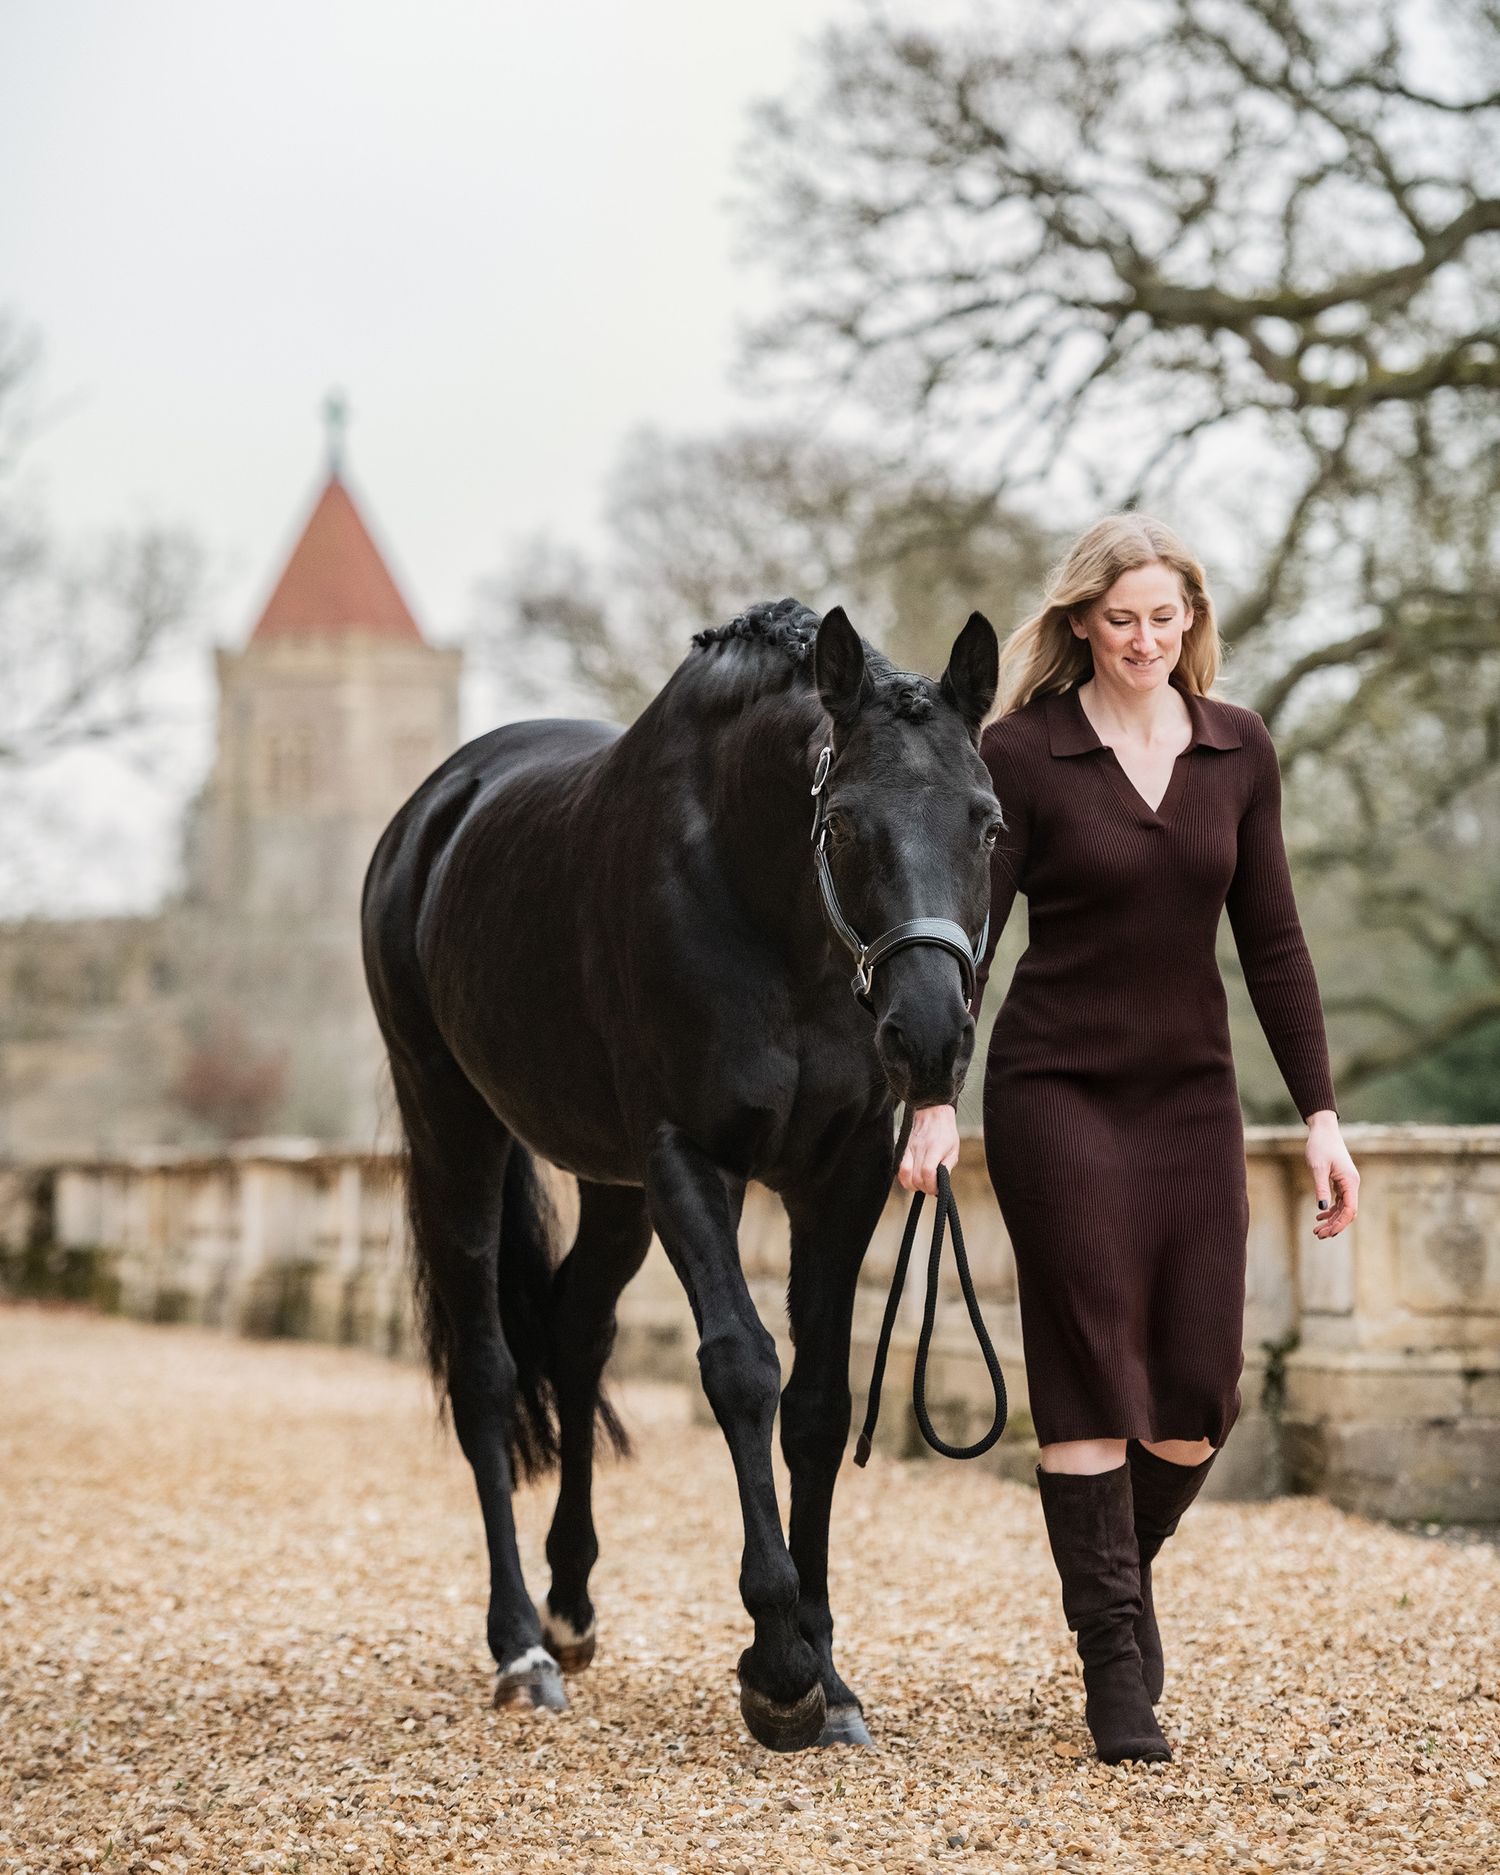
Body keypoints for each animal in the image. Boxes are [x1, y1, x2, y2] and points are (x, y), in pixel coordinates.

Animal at [360, 598, 1000, 1751]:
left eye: (987, 821)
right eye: (844, 823)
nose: (931, 1040)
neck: (770, 912)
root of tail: (432, 811)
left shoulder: (841, 1173)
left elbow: (820, 1401)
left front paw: (829, 1672)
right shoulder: (689, 1160)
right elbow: (742, 1368)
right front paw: (778, 1669)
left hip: (612, 1187)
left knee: (577, 1333)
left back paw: (570, 1608)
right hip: (454, 1130)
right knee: (485, 1374)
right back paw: (521, 1647)